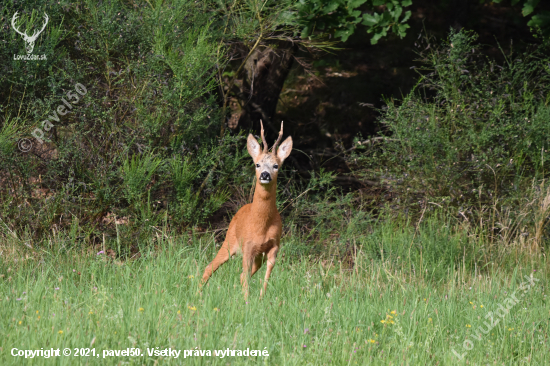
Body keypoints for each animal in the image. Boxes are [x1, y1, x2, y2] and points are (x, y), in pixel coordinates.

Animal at [202, 121, 294, 298]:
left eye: (276, 165)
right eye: (257, 164)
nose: (265, 175)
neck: (261, 225)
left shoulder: (274, 246)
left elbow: (266, 274)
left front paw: (260, 297)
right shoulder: (248, 247)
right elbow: (245, 277)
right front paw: (247, 301)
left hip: (257, 255)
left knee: (239, 275)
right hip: (229, 240)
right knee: (210, 267)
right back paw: (198, 294)